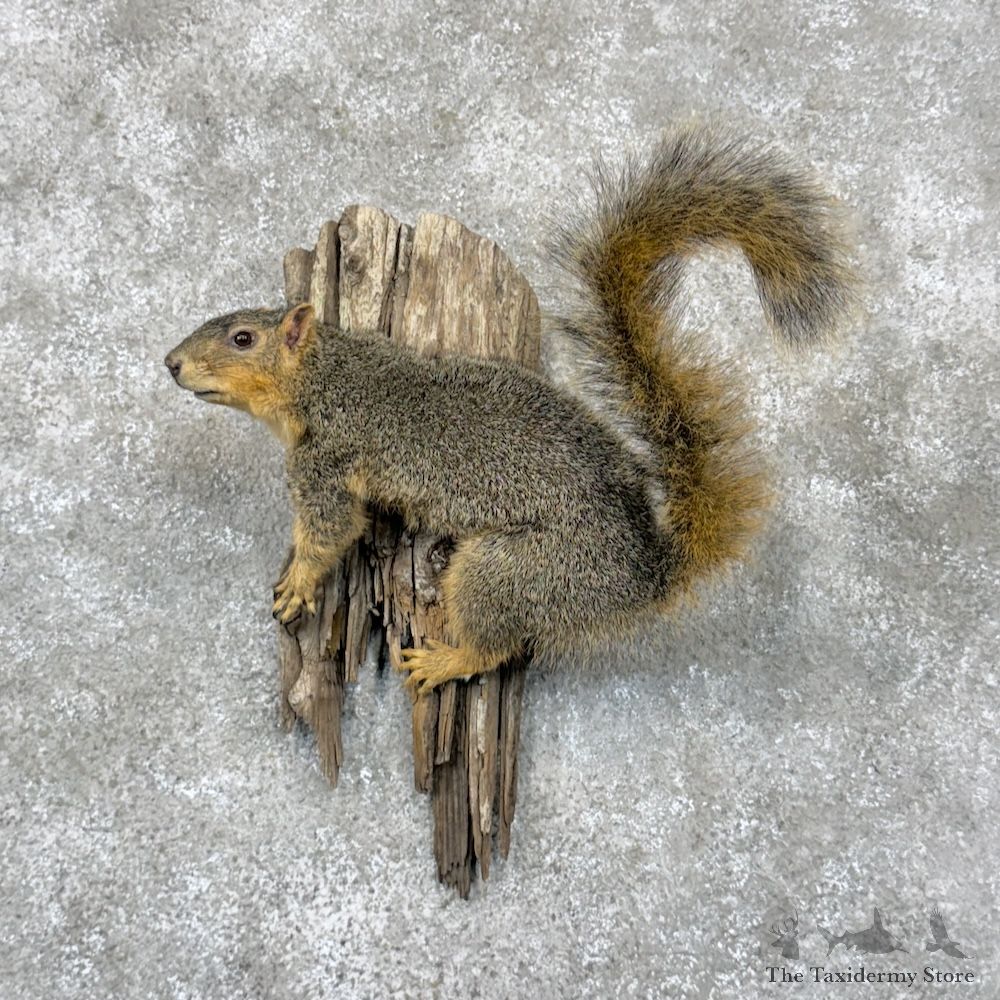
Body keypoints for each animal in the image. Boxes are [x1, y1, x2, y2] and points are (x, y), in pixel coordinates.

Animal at [164, 127, 855, 695]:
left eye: (242, 339)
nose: (171, 363)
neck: (326, 377)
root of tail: (645, 575)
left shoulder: (326, 463)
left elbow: (331, 530)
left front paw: (298, 584)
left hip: (510, 573)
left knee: (496, 646)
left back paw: (444, 660)